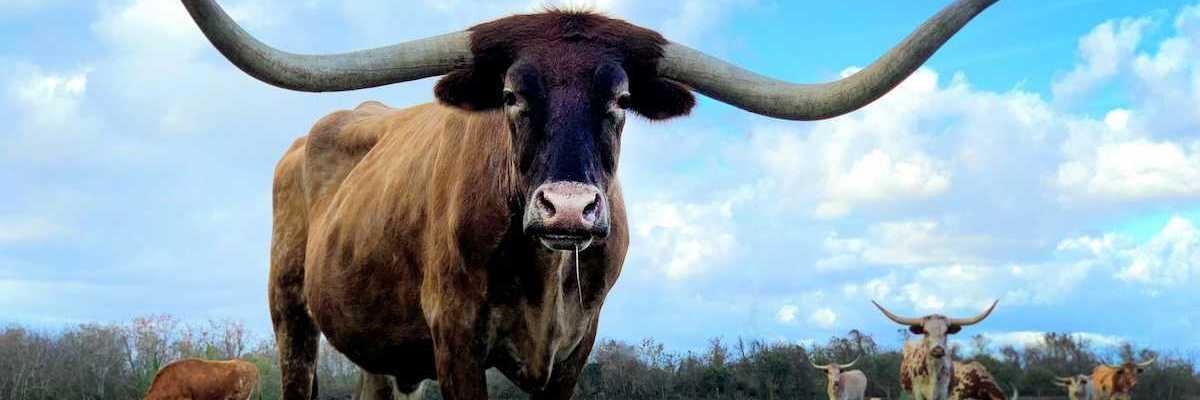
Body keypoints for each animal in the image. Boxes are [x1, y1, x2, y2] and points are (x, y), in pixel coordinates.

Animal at [181, 0, 1000, 398]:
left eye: (621, 100)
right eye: (513, 95)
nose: (570, 210)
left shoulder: (575, 352)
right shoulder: (455, 338)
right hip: (289, 318)